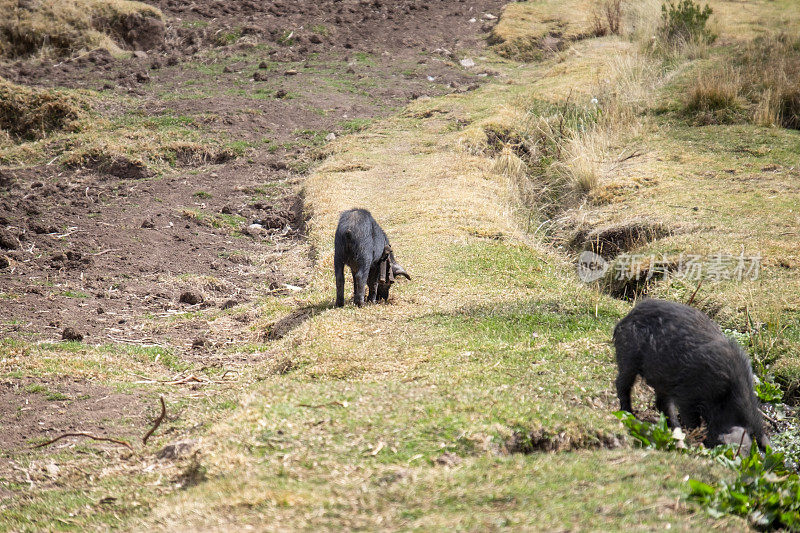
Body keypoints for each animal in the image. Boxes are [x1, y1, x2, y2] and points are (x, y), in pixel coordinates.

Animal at [612, 300, 768, 448]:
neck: (724, 395)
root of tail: (627, 316)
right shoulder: (687, 394)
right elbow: (691, 419)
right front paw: (695, 437)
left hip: (662, 381)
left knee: (662, 403)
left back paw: (674, 428)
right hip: (628, 355)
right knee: (622, 384)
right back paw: (629, 413)